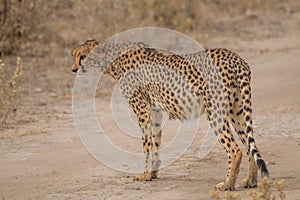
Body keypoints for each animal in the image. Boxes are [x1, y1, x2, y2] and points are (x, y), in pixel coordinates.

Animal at [70, 39, 270, 191]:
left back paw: (227, 184)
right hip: (237, 110)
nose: (73, 69)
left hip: (215, 112)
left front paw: (145, 174)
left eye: (82, 56)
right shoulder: (155, 111)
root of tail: (234, 57)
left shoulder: (142, 109)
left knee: (235, 150)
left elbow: (146, 144)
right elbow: (155, 142)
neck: (112, 59)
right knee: (249, 145)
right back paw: (250, 181)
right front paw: (153, 173)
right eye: (74, 55)